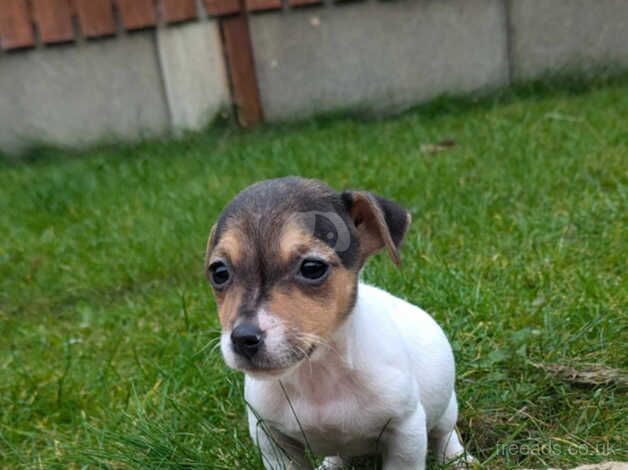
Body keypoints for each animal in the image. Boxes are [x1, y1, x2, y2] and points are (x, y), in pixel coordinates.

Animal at [206, 177, 476, 470]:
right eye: (218, 272)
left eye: (312, 267)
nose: (243, 339)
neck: (318, 375)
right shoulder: (271, 437)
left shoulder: (406, 431)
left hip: (446, 408)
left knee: (445, 433)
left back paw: (457, 459)